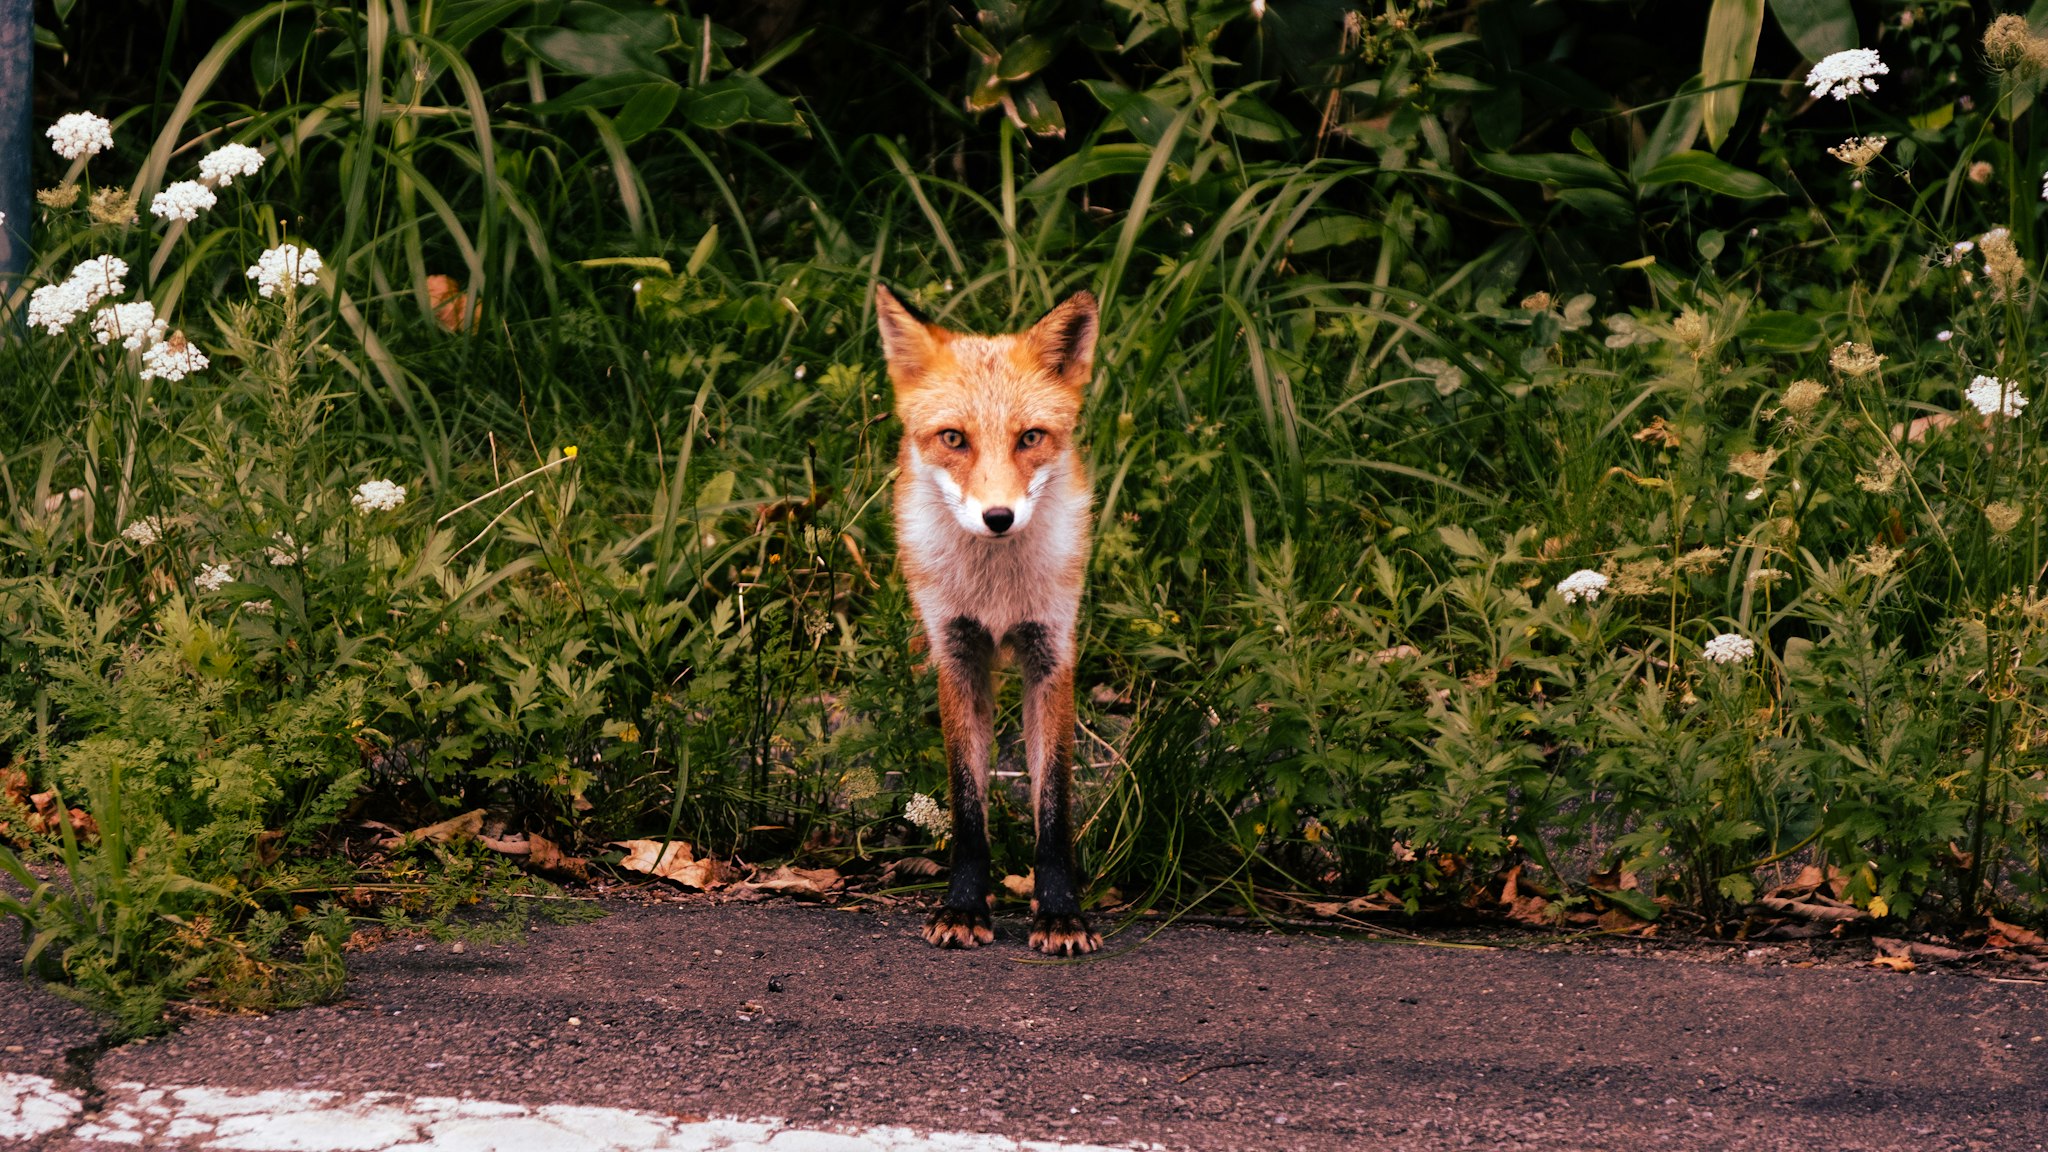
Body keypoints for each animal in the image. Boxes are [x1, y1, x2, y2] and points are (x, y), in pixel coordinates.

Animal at [873, 284, 1102, 957]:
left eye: (1030, 437)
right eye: (954, 438)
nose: (998, 517)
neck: (997, 590)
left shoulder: (1051, 654)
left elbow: (1053, 804)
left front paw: (1060, 912)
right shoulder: (957, 655)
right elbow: (968, 806)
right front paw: (964, 906)